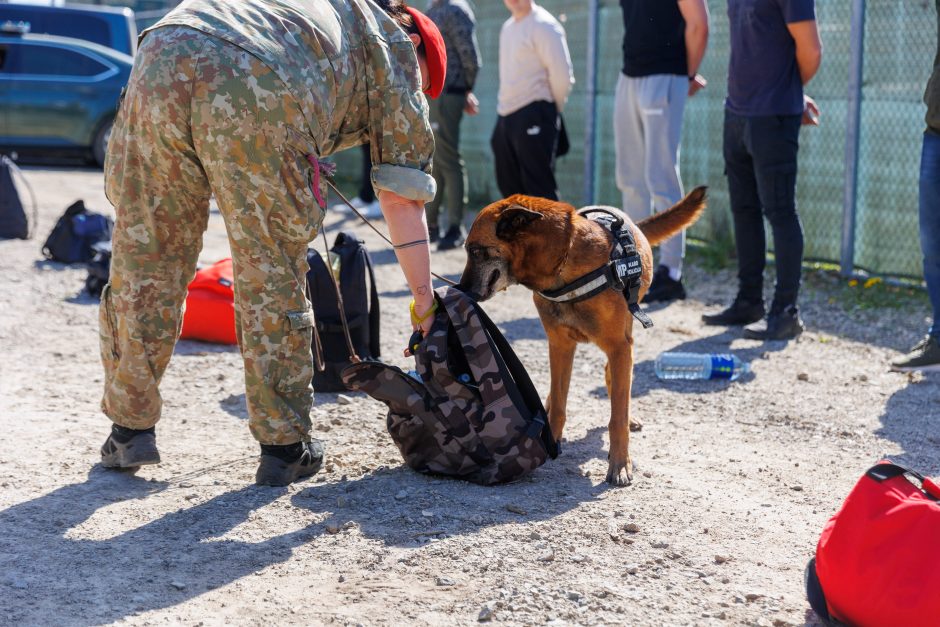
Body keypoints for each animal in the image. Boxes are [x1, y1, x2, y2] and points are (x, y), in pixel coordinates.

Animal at [456, 189, 704, 488]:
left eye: (475, 251)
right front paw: (552, 437)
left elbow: (617, 416)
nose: (460, 289)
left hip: (626, 337)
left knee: (616, 381)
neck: (563, 262)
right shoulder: (560, 345)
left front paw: (620, 464)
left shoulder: (619, 347)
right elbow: (560, 403)